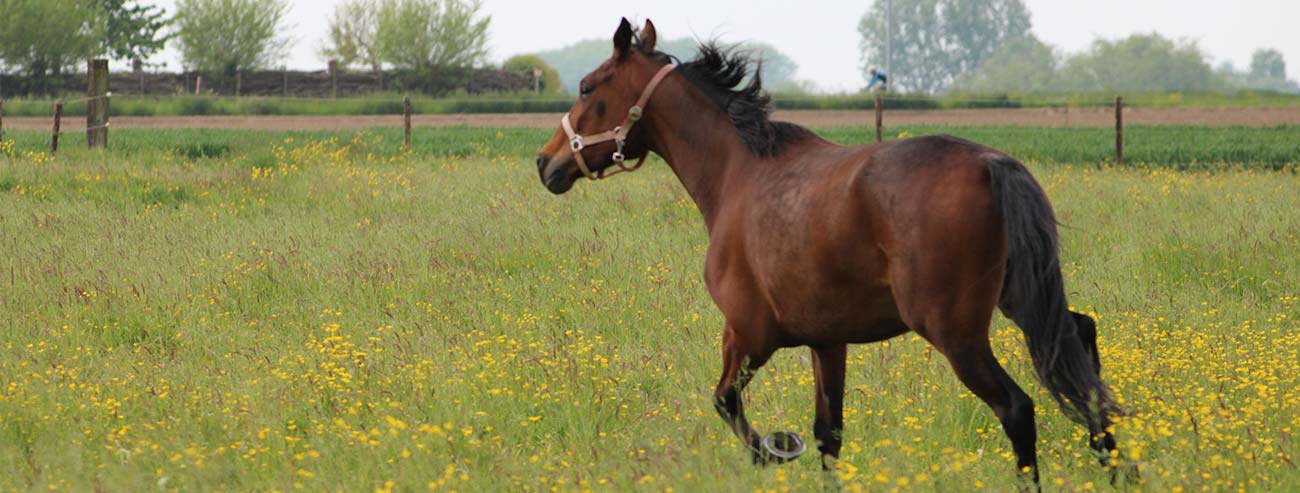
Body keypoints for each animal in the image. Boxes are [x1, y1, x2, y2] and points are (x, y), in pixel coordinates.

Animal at [538, 18, 1128, 486]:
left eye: (588, 87)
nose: (546, 163)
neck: (738, 175)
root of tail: (990, 162)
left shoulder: (748, 334)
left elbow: (727, 402)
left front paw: (774, 450)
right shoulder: (827, 343)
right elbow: (828, 436)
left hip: (956, 333)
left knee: (1019, 409)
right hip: (1022, 301)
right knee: (1086, 363)